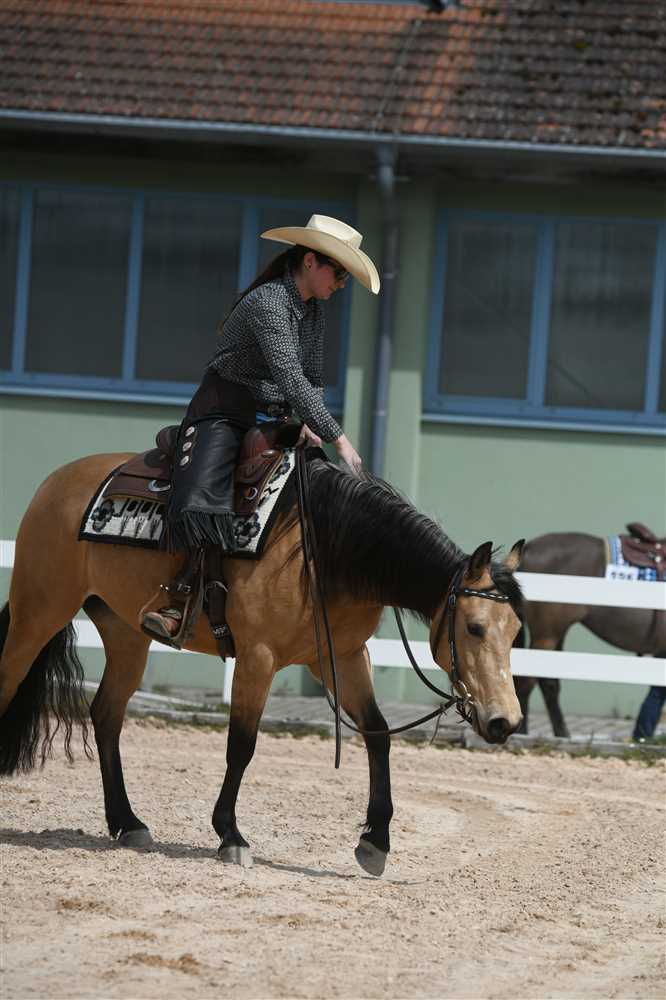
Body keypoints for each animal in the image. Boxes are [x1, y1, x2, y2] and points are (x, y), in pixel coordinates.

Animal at [0, 448, 525, 876]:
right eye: (474, 627)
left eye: (516, 630)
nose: (506, 722)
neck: (325, 550)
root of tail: (58, 481)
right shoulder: (258, 657)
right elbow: (242, 744)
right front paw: (230, 836)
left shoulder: (343, 658)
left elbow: (377, 735)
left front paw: (375, 841)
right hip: (38, 613)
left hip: (125, 633)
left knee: (107, 714)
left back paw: (127, 823)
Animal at [514, 532, 666, 738]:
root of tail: (528, 549)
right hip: (546, 635)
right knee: (527, 682)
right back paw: (523, 733)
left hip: (555, 634)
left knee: (547, 682)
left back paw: (562, 733)